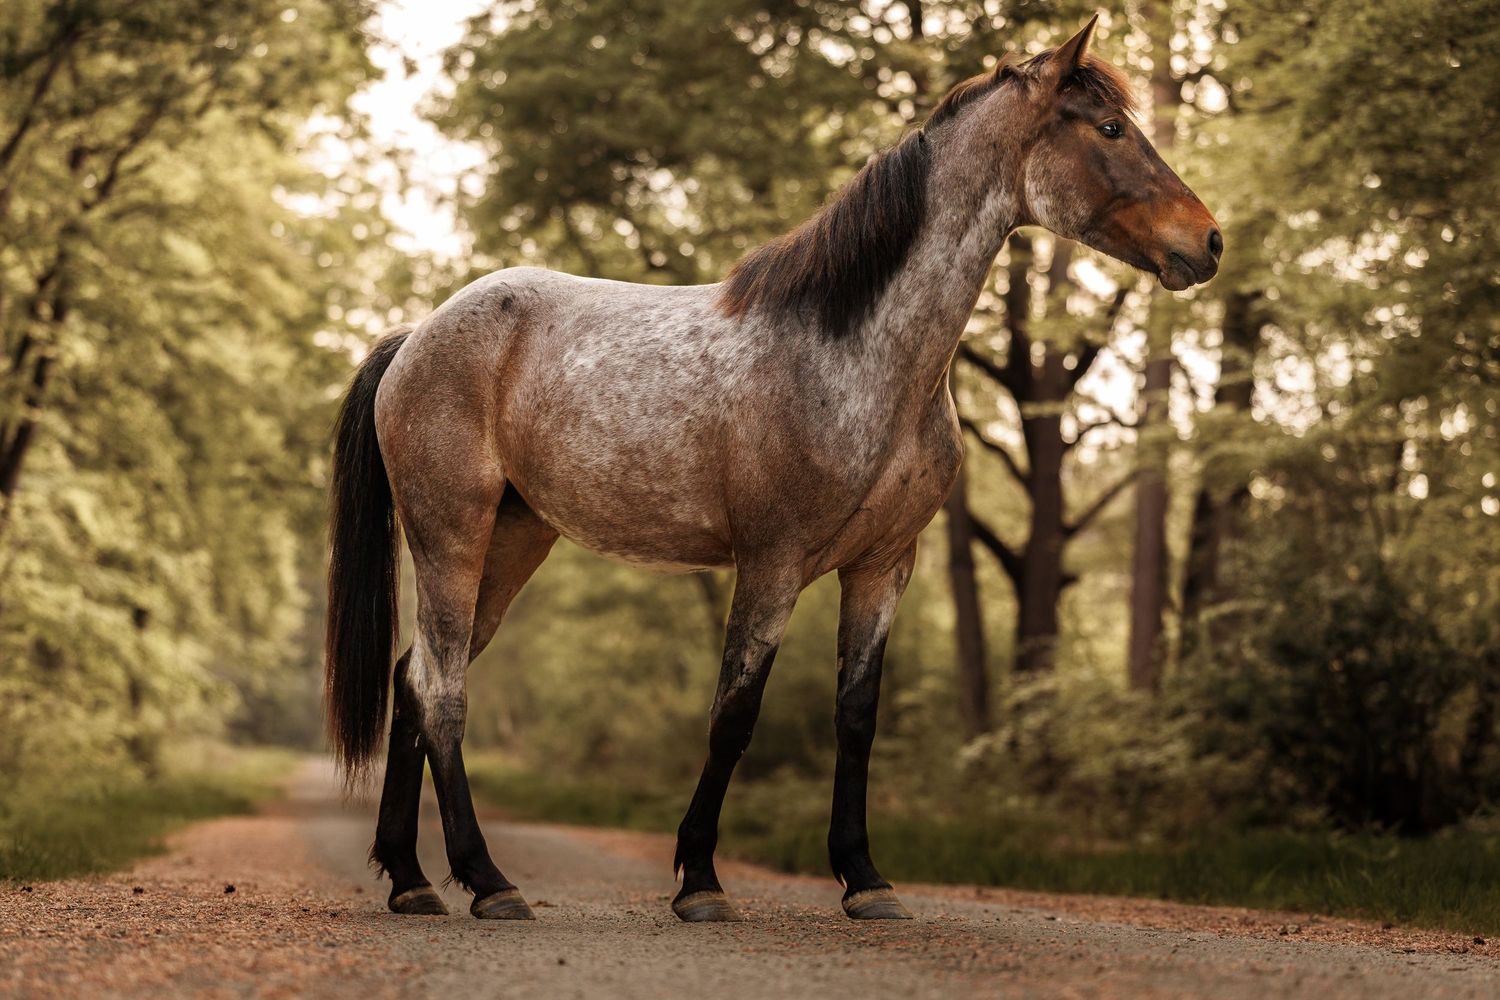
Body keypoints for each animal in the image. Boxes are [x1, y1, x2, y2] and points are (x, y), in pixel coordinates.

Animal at [325, 15, 1220, 923]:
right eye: (1108, 128)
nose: (1208, 239)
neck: (853, 353)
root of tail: (417, 337)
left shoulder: (883, 567)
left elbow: (856, 716)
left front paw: (865, 878)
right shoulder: (771, 562)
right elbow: (735, 713)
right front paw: (699, 880)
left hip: (510, 544)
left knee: (414, 681)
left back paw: (410, 879)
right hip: (452, 539)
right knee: (443, 693)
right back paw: (488, 881)